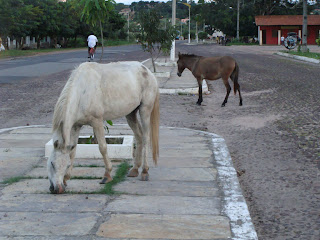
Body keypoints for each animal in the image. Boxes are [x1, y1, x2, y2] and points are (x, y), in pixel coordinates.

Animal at [47, 61, 160, 193]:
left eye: (67, 165)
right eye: (52, 163)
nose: (58, 189)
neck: (81, 91)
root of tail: (147, 71)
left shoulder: (97, 122)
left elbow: (102, 147)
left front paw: (107, 175)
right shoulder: (76, 126)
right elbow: (73, 151)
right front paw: (66, 178)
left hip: (145, 110)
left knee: (146, 138)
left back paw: (145, 171)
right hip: (130, 114)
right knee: (139, 136)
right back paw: (135, 169)